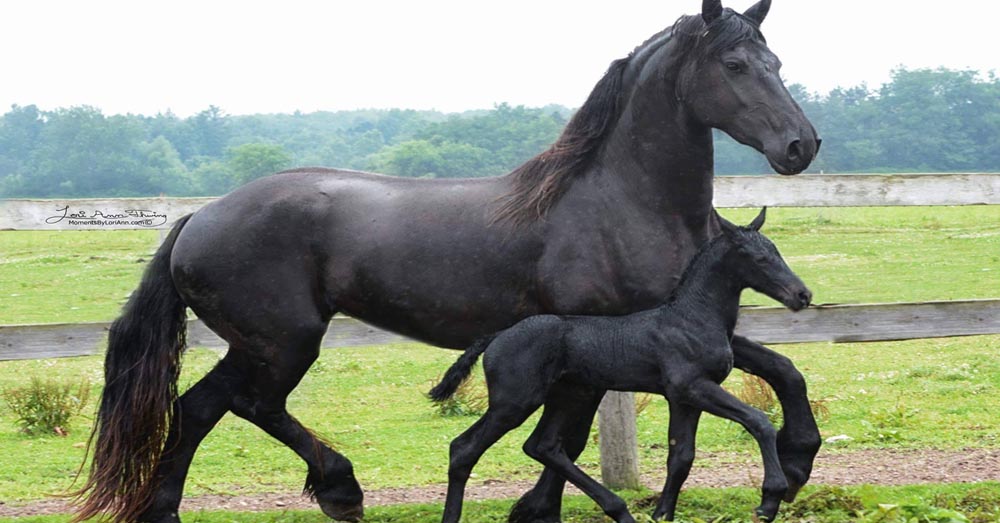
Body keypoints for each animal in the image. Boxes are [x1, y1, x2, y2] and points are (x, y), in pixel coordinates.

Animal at [430, 210, 812, 523]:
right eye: (760, 258)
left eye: (776, 251)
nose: (802, 295)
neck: (691, 318)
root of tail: (496, 336)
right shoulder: (693, 387)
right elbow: (758, 421)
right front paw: (770, 499)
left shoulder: (684, 398)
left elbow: (681, 457)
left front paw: (662, 513)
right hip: (514, 402)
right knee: (463, 449)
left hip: (569, 396)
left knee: (543, 446)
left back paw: (618, 510)